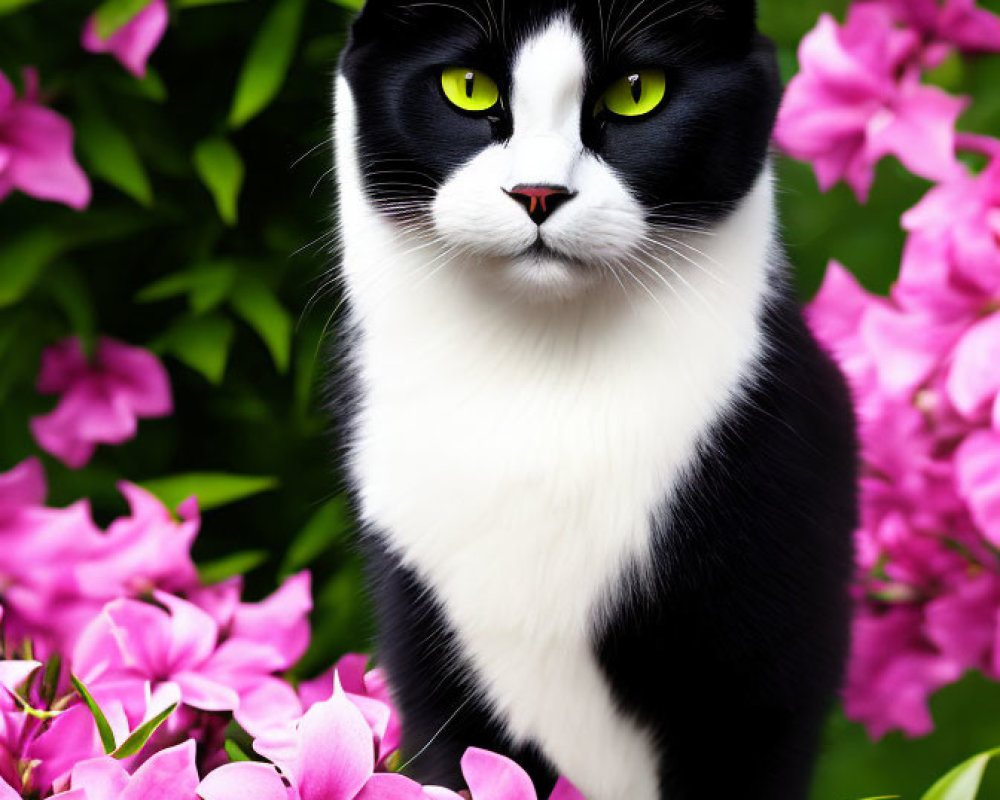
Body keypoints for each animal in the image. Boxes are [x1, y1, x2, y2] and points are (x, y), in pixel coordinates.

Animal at [332, 3, 856, 796]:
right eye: (468, 87)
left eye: (638, 92)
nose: (538, 193)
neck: (544, 381)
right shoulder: (424, 637)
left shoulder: (760, 673)